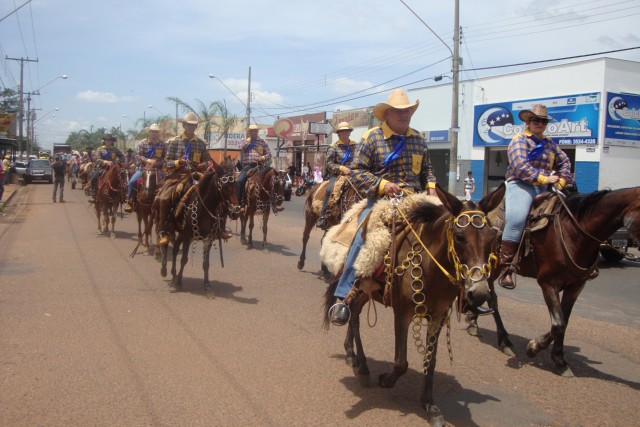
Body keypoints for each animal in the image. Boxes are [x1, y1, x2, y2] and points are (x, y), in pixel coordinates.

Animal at [160, 160, 240, 294]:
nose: (236, 211)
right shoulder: (188, 236)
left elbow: (206, 263)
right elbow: (184, 259)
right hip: (168, 227)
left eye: (236, 185)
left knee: (175, 249)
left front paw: (207, 285)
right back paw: (164, 270)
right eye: (224, 187)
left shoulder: (208, 238)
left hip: (181, 233)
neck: (203, 208)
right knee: (165, 244)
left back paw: (174, 274)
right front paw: (179, 282)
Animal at [322, 185, 508, 427]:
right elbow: (401, 362)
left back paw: (352, 355)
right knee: (351, 314)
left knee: (355, 314)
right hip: (360, 282)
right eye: (459, 237)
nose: (479, 293)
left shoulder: (439, 316)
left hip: (367, 289)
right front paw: (386, 380)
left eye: (492, 237)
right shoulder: (402, 313)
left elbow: (431, 361)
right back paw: (362, 366)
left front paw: (429, 406)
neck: (431, 269)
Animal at [464, 187, 640, 378]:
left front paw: (559, 359)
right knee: (491, 297)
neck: (574, 233)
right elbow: (558, 324)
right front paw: (534, 347)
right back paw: (503, 340)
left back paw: (474, 321)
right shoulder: (548, 283)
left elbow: (564, 321)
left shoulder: (576, 286)